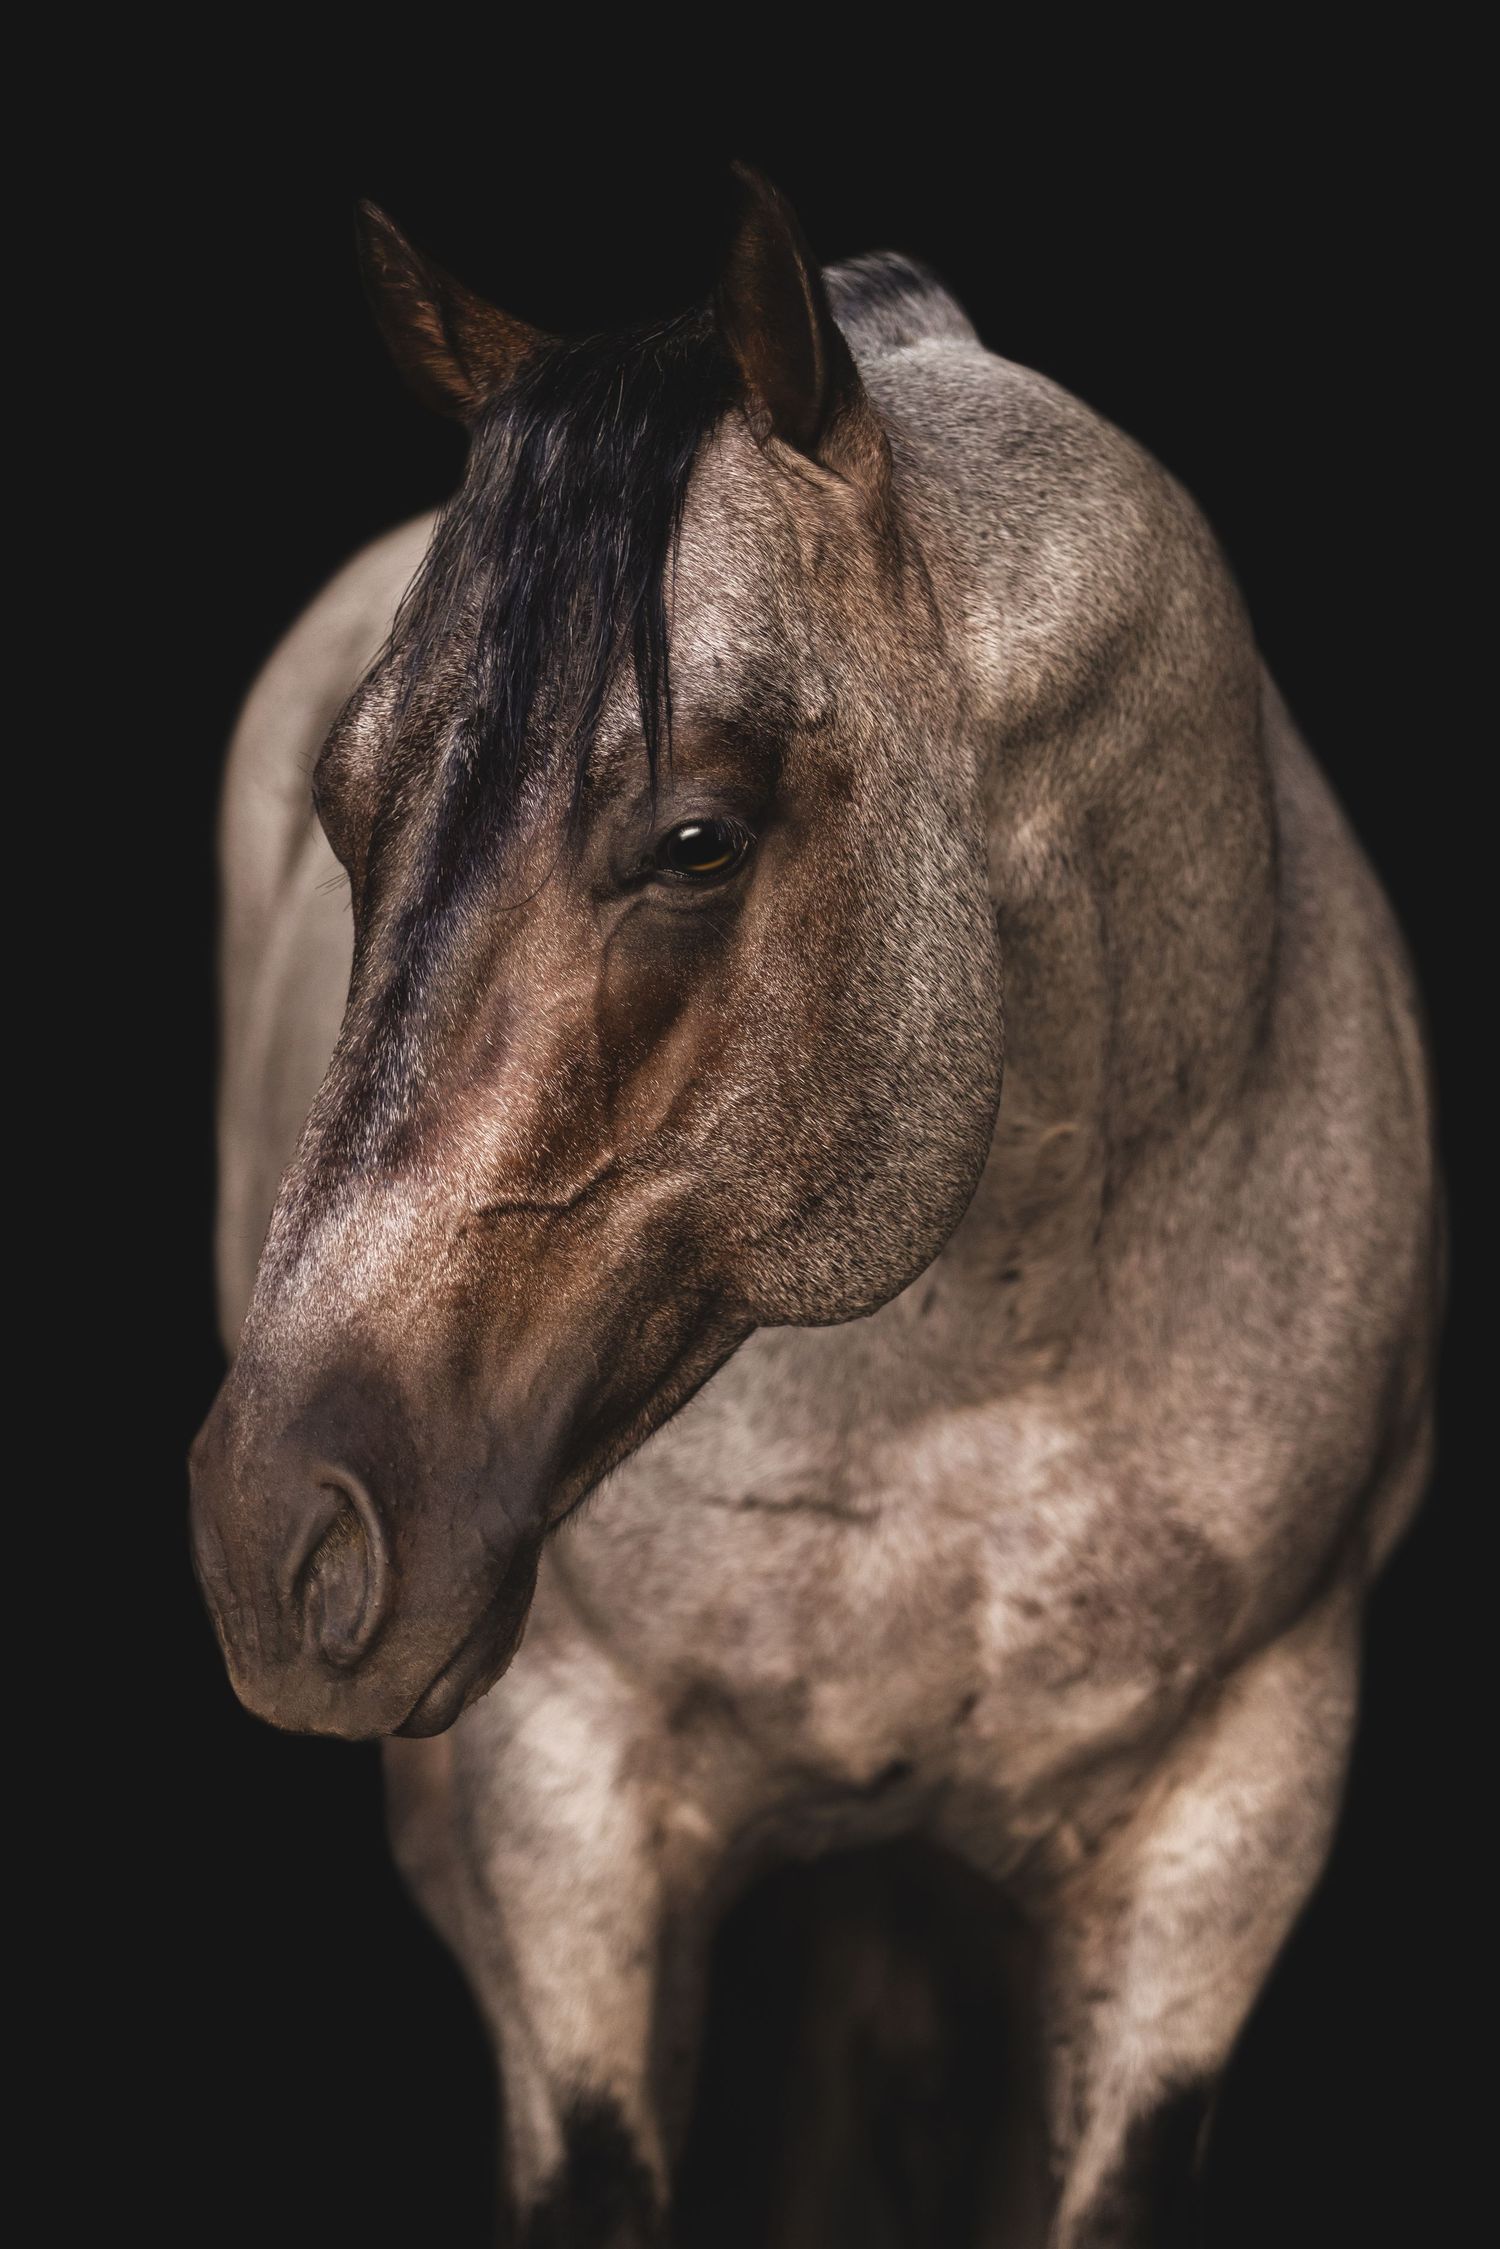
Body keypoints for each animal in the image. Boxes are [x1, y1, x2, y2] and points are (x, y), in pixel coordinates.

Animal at [189, 168, 1442, 2247]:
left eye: (698, 837)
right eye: (345, 813)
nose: (275, 1537)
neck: (984, 1347)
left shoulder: (1224, 1829)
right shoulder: (568, 1810)